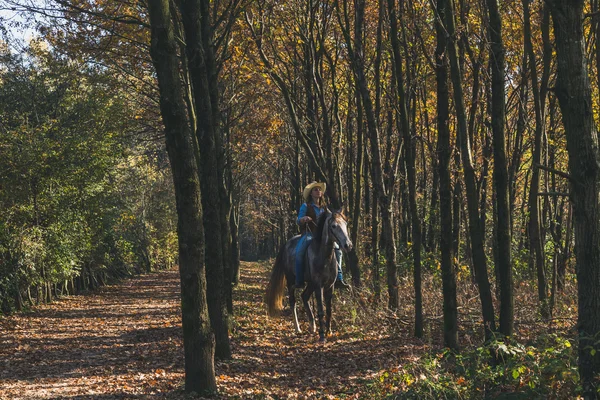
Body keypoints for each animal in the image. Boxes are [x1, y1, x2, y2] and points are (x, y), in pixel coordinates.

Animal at [266, 208, 352, 342]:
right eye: (333, 226)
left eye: (345, 224)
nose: (348, 245)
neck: (324, 256)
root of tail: (287, 244)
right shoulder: (318, 286)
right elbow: (321, 310)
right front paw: (322, 336)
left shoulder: (329, 286)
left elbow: (329, 310)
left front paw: (329, 332)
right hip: (291, 282)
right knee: (293, 302)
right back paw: (298, 328)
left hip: (310, 284)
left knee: (304, 296)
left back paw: (312, 325)